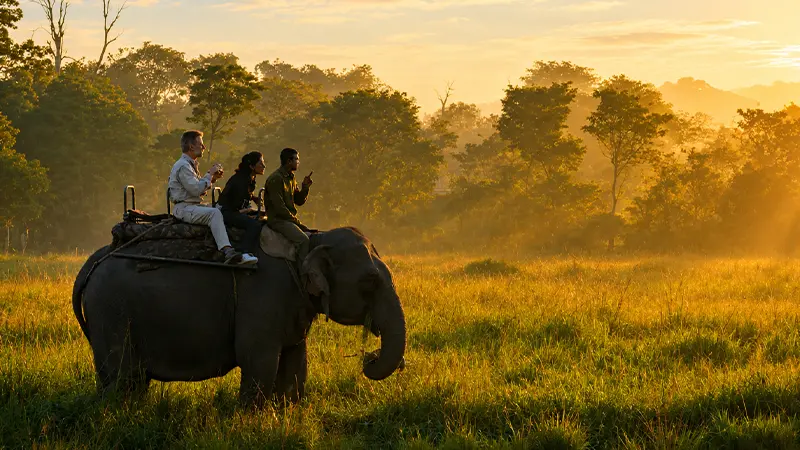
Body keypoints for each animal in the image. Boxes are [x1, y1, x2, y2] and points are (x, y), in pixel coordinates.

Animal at [71, 226, 406, 406]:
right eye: (370, 282)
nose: (369, 357)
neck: (308, 239)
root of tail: (93, 261)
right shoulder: (261, 296)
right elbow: (258, 358)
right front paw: (252, 419)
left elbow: (296, 361)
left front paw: (286, 412)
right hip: (111, 311)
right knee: (121, 378)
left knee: (131, 379)